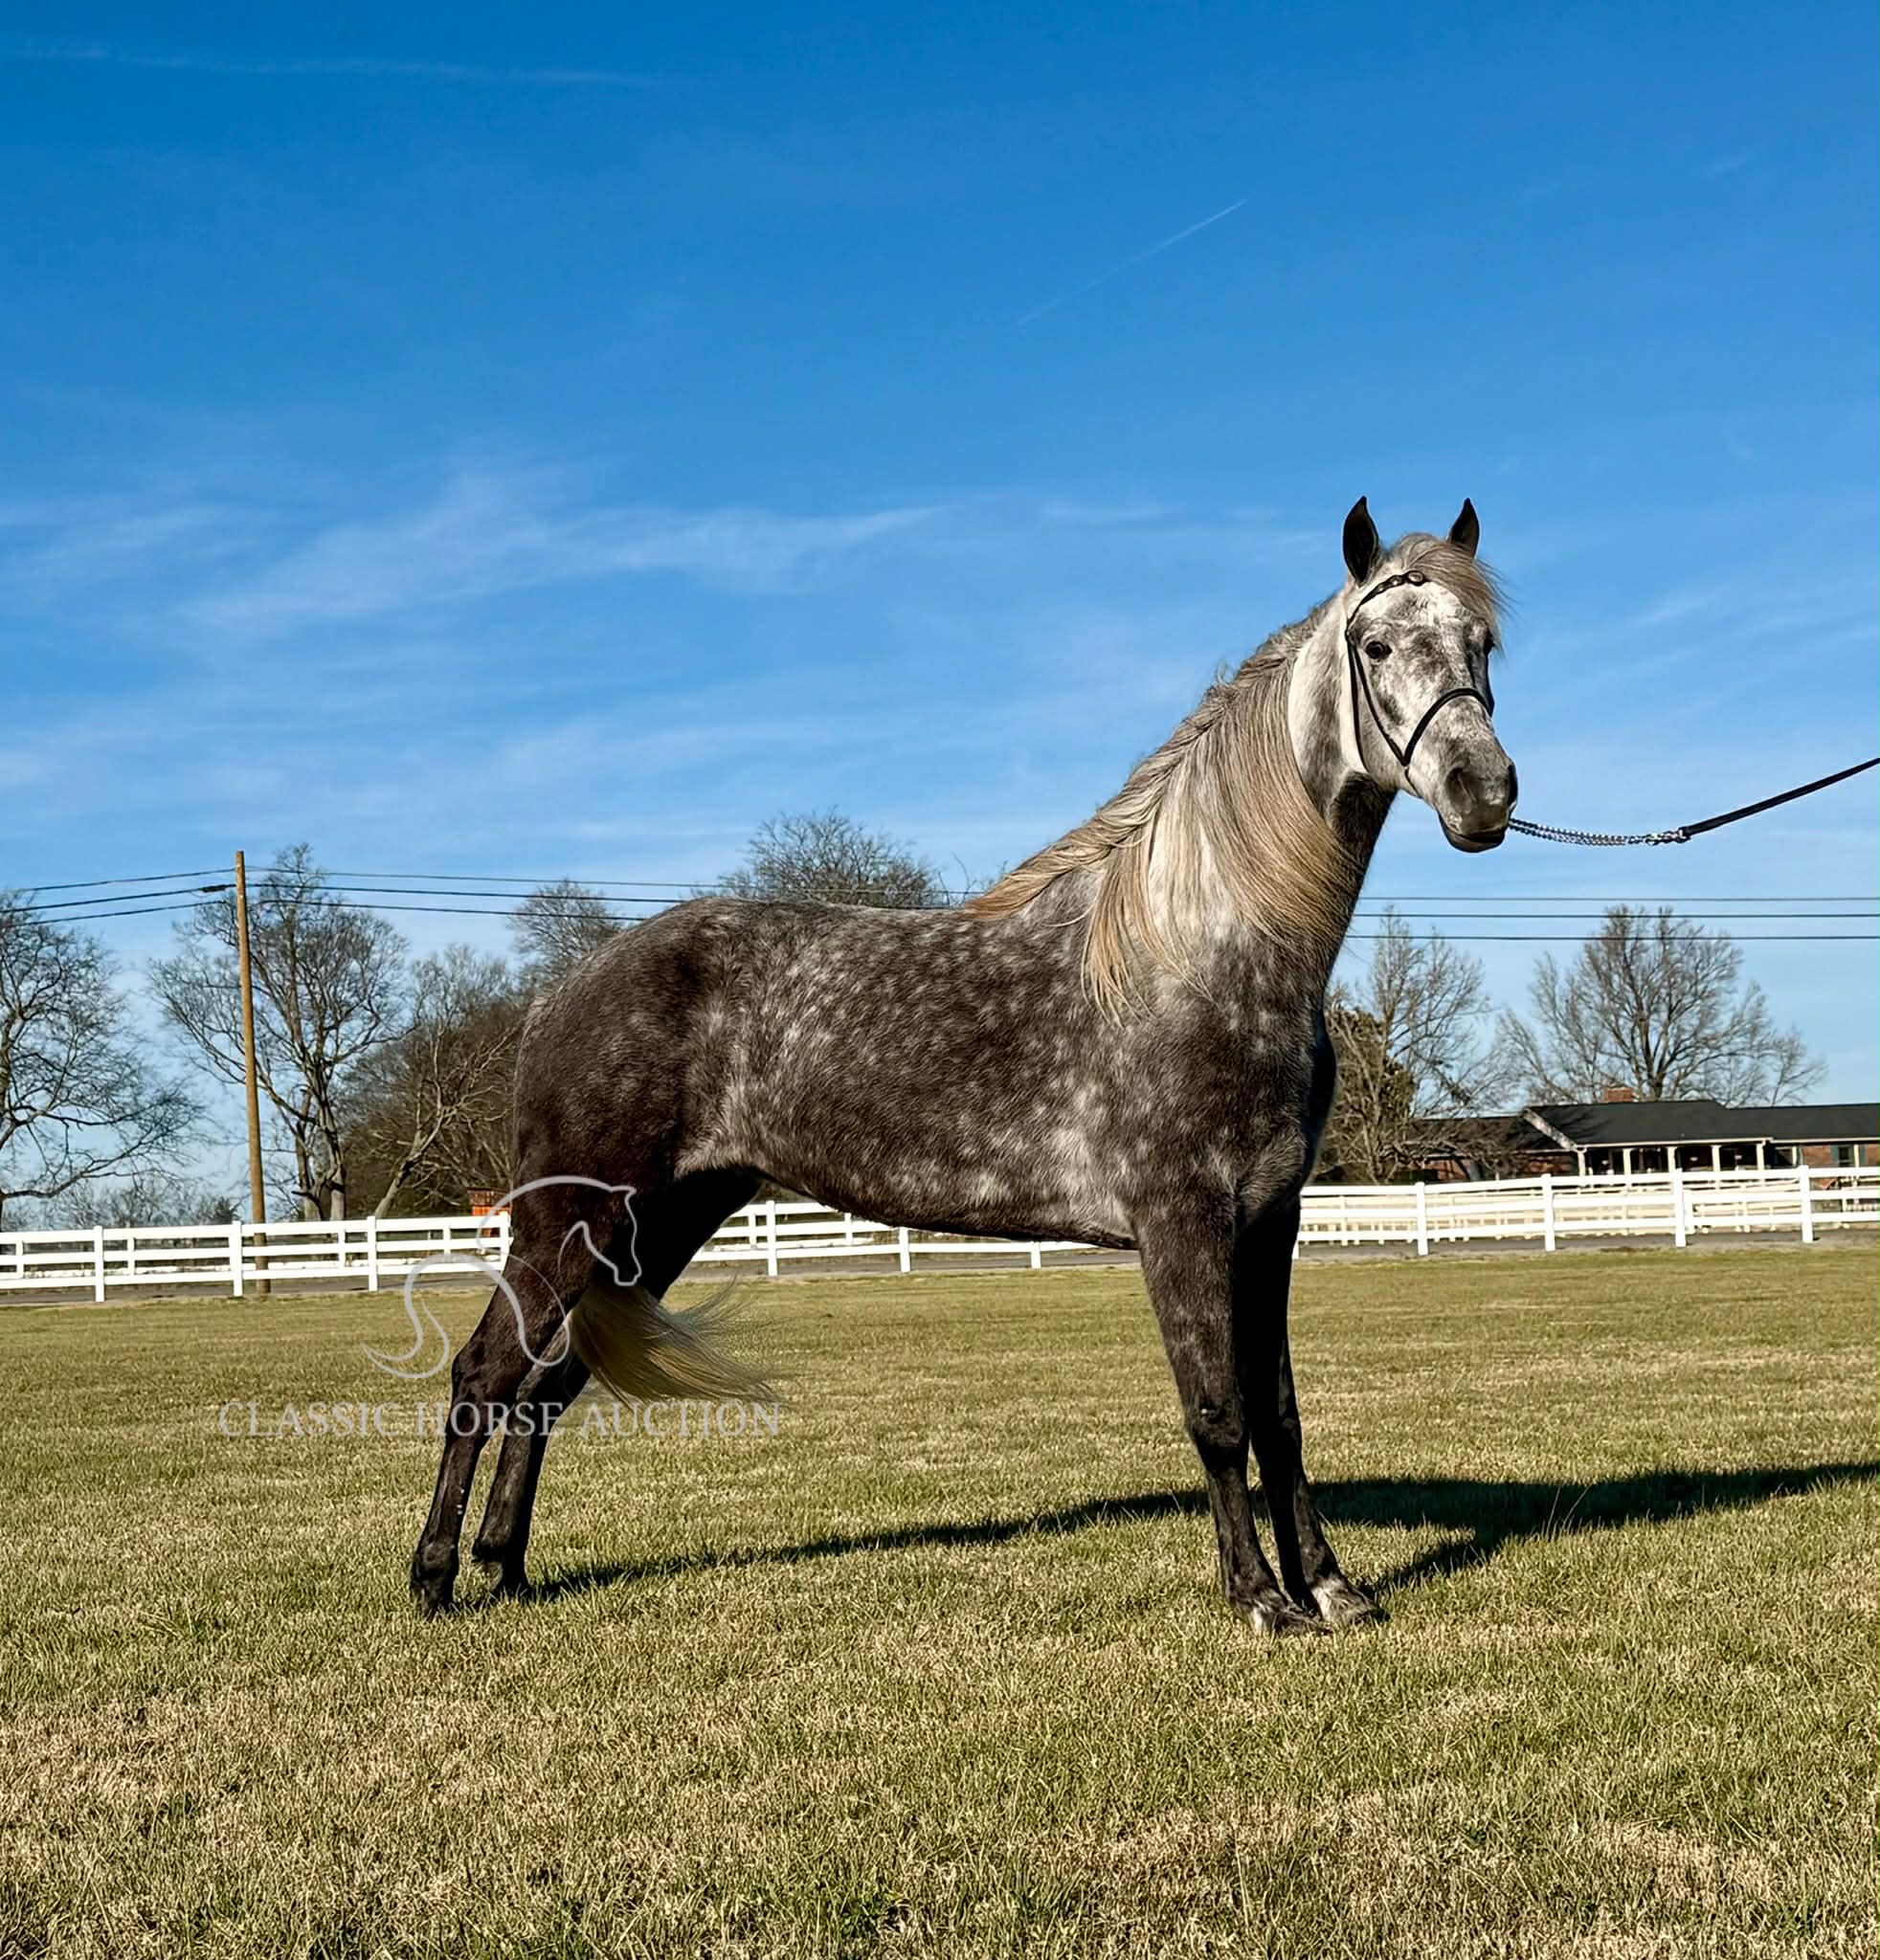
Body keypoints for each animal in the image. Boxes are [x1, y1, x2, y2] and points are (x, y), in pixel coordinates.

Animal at [410, 496, 1516, 1634]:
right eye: (1375, 647)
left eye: (1483, 644)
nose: (1482, 791)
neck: (1201, 949)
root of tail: (560, 993)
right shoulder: (1183, 1219)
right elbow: (1216, 1412)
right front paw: (1260, 1598)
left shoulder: (1269, 1219)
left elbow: (1281, 1415)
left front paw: (1333, 1589)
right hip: (568, 1225)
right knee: (483, 1377)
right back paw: (438, 1579)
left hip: (653, 1228)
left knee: (545, 1387)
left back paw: (507, 1570)